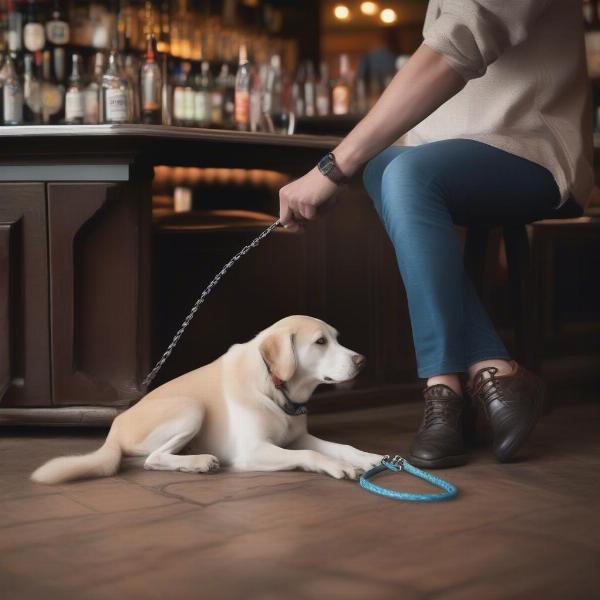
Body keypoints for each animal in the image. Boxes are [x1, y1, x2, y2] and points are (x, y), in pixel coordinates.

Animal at [30, 316, 382, 486]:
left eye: (337, 338)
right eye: (320, 342)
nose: (363, 360)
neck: (273, 387)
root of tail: (113, 429)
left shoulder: (298, 437)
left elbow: (341, 447)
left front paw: (369, 458)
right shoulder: (253, 451)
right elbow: (312, 454)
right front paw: (337, 466)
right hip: (190, 407)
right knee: (153, 459)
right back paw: (198, 461)